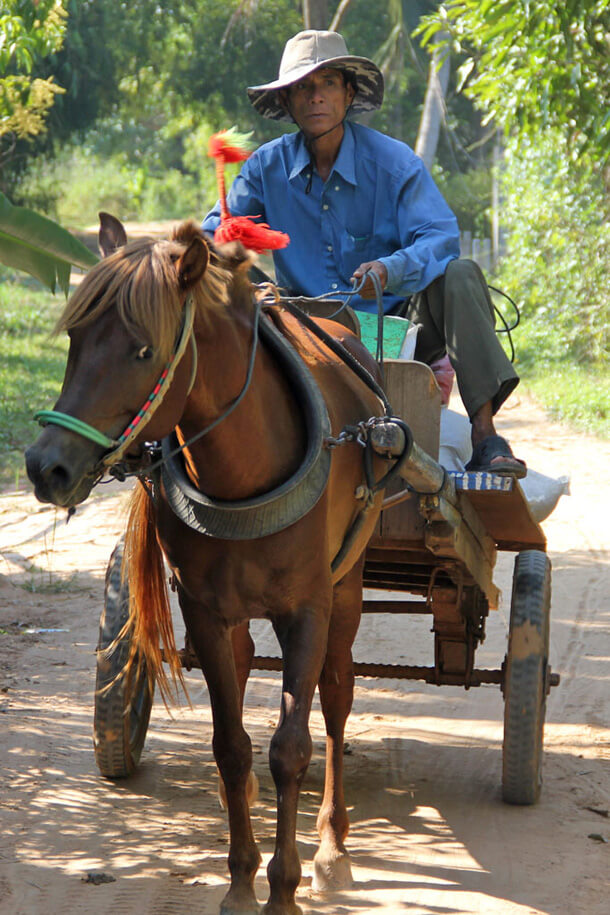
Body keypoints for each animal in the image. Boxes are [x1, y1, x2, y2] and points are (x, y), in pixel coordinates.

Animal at [26, 216, 388, 915]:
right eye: (76, 337)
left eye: (143, 351)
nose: (44, 466)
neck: (244, 467)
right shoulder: (204, 607)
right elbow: (231, 745)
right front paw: (242, 879)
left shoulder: (309, 607)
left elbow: (290, 747)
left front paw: (284, 887)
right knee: (247, 674)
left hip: (349, 587)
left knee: (337, 697)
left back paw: (333, 846)